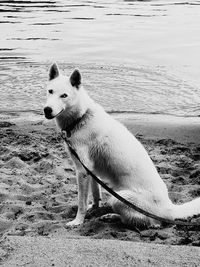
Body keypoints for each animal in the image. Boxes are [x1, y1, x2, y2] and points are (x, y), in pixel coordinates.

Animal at [44, 62, 200, 228]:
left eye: (64, 95)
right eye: (50, 91)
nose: (46, 110)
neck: (81, 118)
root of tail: (169, 208)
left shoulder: (82, 171)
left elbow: (82, 202)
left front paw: (78, 221)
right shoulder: (91, 170)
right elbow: (96, 192)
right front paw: (95, 207)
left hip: (118, 198)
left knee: (145, 222)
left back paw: (113, 216)